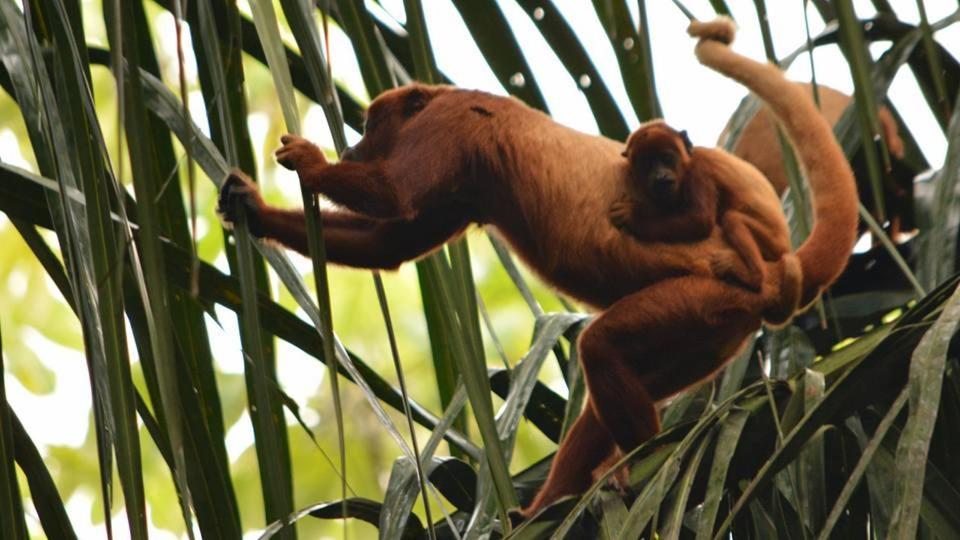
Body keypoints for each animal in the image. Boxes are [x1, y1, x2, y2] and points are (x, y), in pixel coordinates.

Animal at [219, 17, 864, 520]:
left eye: (368, 125)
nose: (350, 149)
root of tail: (772, 269)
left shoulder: (451, 123)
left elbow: (395, 198)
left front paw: (309, 162)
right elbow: (393, 243)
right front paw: (252, 208)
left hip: (705, 298)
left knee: (600, 345)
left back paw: (640, 460)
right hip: (713, 335)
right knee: (609, 388)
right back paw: (551, 502)